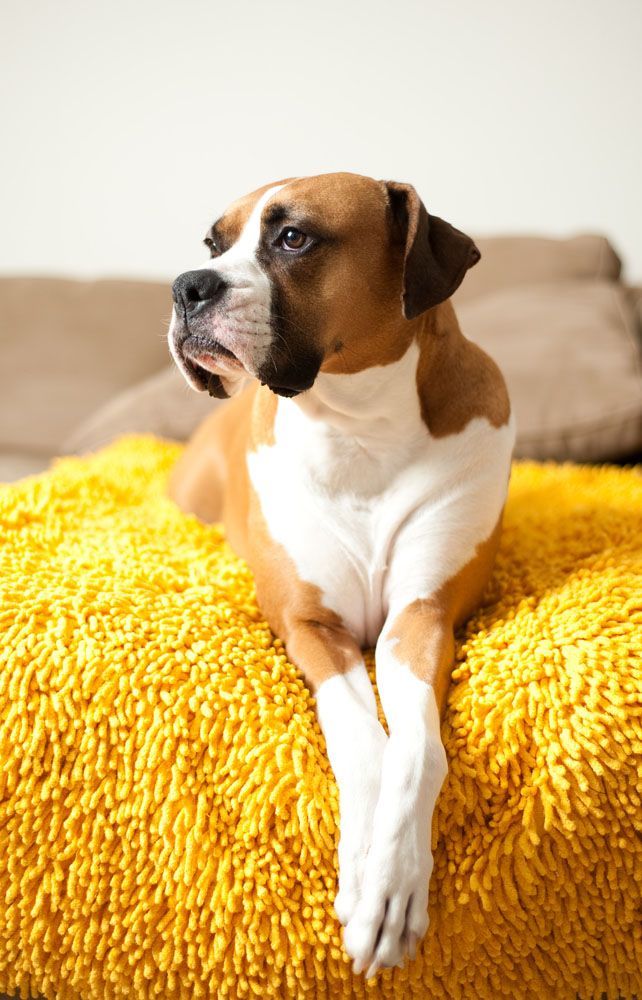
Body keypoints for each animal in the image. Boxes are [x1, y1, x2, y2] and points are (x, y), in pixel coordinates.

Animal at [168, 172, 512, 976]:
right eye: (212, 243)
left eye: (294, 238)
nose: (187, 285)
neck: (362, 425)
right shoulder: (311, 626)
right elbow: (360, 739)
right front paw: (364, 869)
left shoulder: (420, 620)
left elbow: (416, 751)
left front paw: (393, 882)